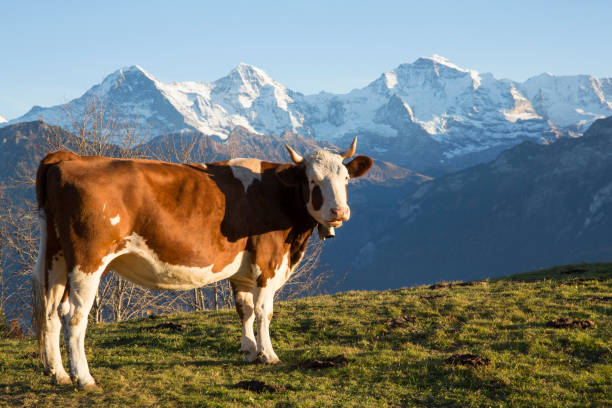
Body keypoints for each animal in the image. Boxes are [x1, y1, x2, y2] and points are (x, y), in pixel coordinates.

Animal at [32, 137, 372, 388]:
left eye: (345, 178)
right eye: (313, 181)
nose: (339, 212)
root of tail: (69, 158)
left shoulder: (242, 269)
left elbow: (244, 309)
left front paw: (249, 351)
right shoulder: (268, 262)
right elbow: (264, 311)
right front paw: (268, 354)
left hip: (55, 254)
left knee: (49, 310)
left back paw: (57, 373)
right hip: (88, 259)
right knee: (73, 314)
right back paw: (83, 378)